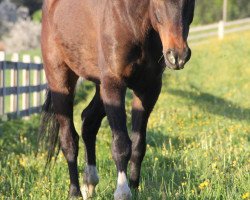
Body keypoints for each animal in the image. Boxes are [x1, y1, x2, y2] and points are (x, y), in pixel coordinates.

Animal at [40, 0, 195, 198]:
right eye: (159, 3)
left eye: (190, 2)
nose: (177, 55)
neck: (133, 22)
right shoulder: (114, 84)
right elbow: (121, 144)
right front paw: (123, 191)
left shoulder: (148, 89)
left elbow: (138, 145)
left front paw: (135, 188)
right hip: (61, 81)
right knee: (69, 139)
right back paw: (75, 192)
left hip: (100, 86)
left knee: (88, 121)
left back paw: (89, 182)